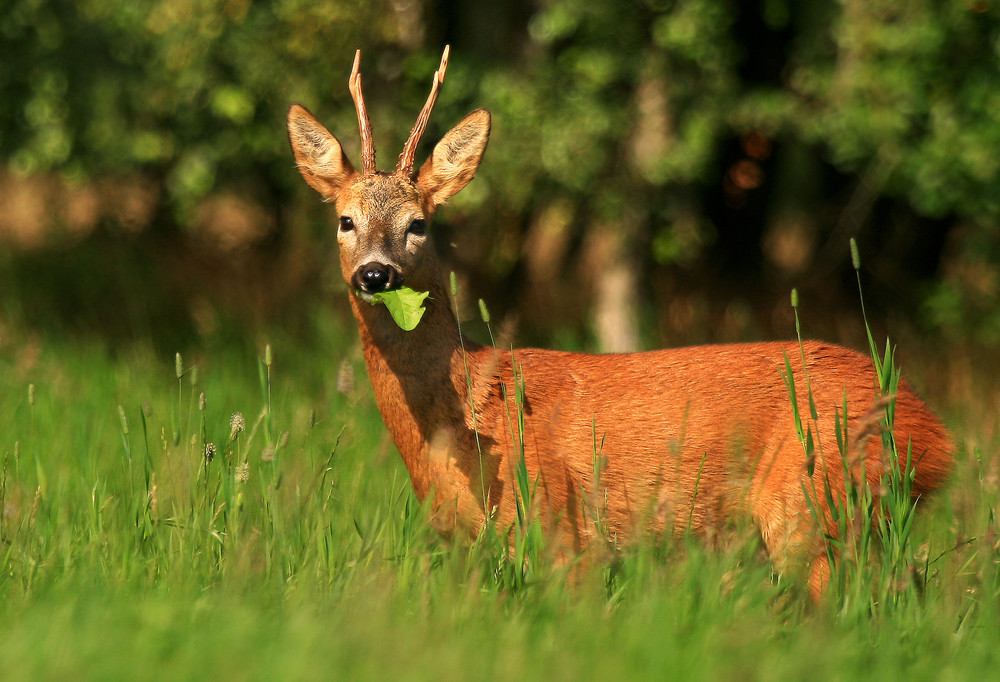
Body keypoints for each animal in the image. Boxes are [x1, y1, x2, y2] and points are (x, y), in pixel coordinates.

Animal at [288, 47, 952, 592]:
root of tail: (936, 434)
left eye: (418, 224)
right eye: (346, 220)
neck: (464, 415)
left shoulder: (557, 526)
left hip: (814, 504)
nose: (376, 274)